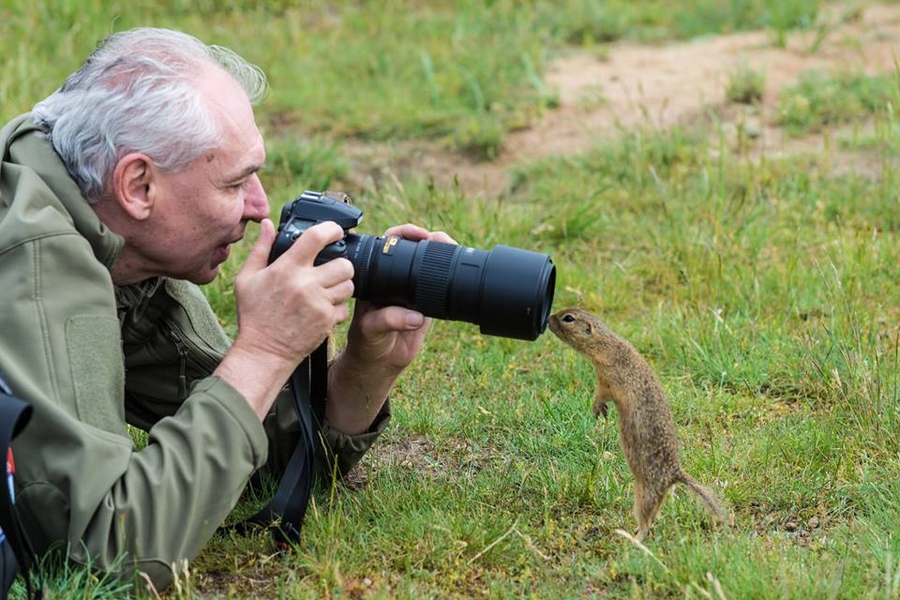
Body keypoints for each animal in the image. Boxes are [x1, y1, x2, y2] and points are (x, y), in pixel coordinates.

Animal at [544, 308, 728, 540]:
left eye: (568, 318)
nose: (548, 319)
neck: (607, 345)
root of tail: (675, 474)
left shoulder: (608, 379)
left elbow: (602, 394)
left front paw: (597, 408)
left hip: (645, 493)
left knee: (647, 522)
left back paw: (631, 538)